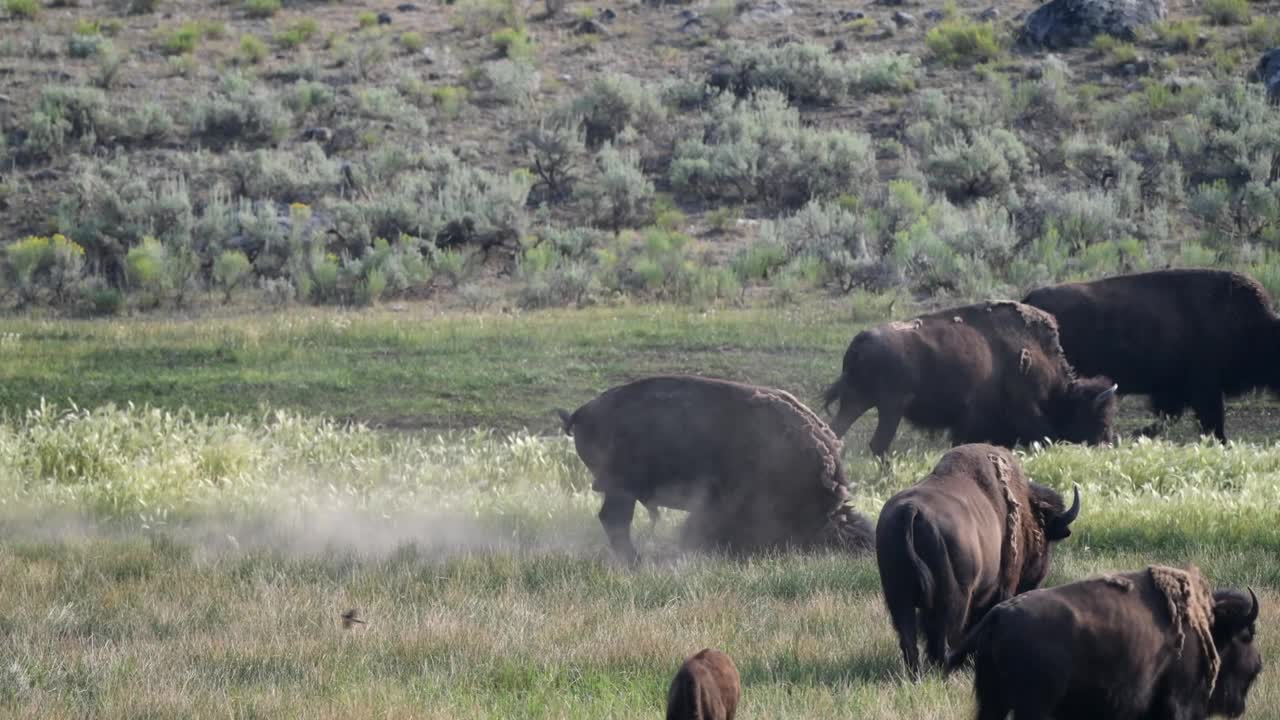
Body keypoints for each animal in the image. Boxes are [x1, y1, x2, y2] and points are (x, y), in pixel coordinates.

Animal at [824, 299, 1116, 456]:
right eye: (1098, 419)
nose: (1107, 444)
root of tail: (860, 342)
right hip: (889, 408)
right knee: (878, 444)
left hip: (857, 401)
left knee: (836, 432)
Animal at [875, 443, 1075, 676]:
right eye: (1043, 534)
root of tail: (910, 510)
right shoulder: (1004, 587)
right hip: (953, 598)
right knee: (944, 636)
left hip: (898, 597)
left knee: (910, 638)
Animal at [952, 563, 1259, 712]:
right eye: (1246, 635)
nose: (1258, 665)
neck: (1209, 627)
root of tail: (998, 615)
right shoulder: (1178, 702)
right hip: (1032, 706)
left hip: (993, 701)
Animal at [1024, 266, 1280, 440]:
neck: (1257, 328)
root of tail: (1029, 300)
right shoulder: (1204, 388)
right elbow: (1210, 419)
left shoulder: (1176, 390)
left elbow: (1171, 415)